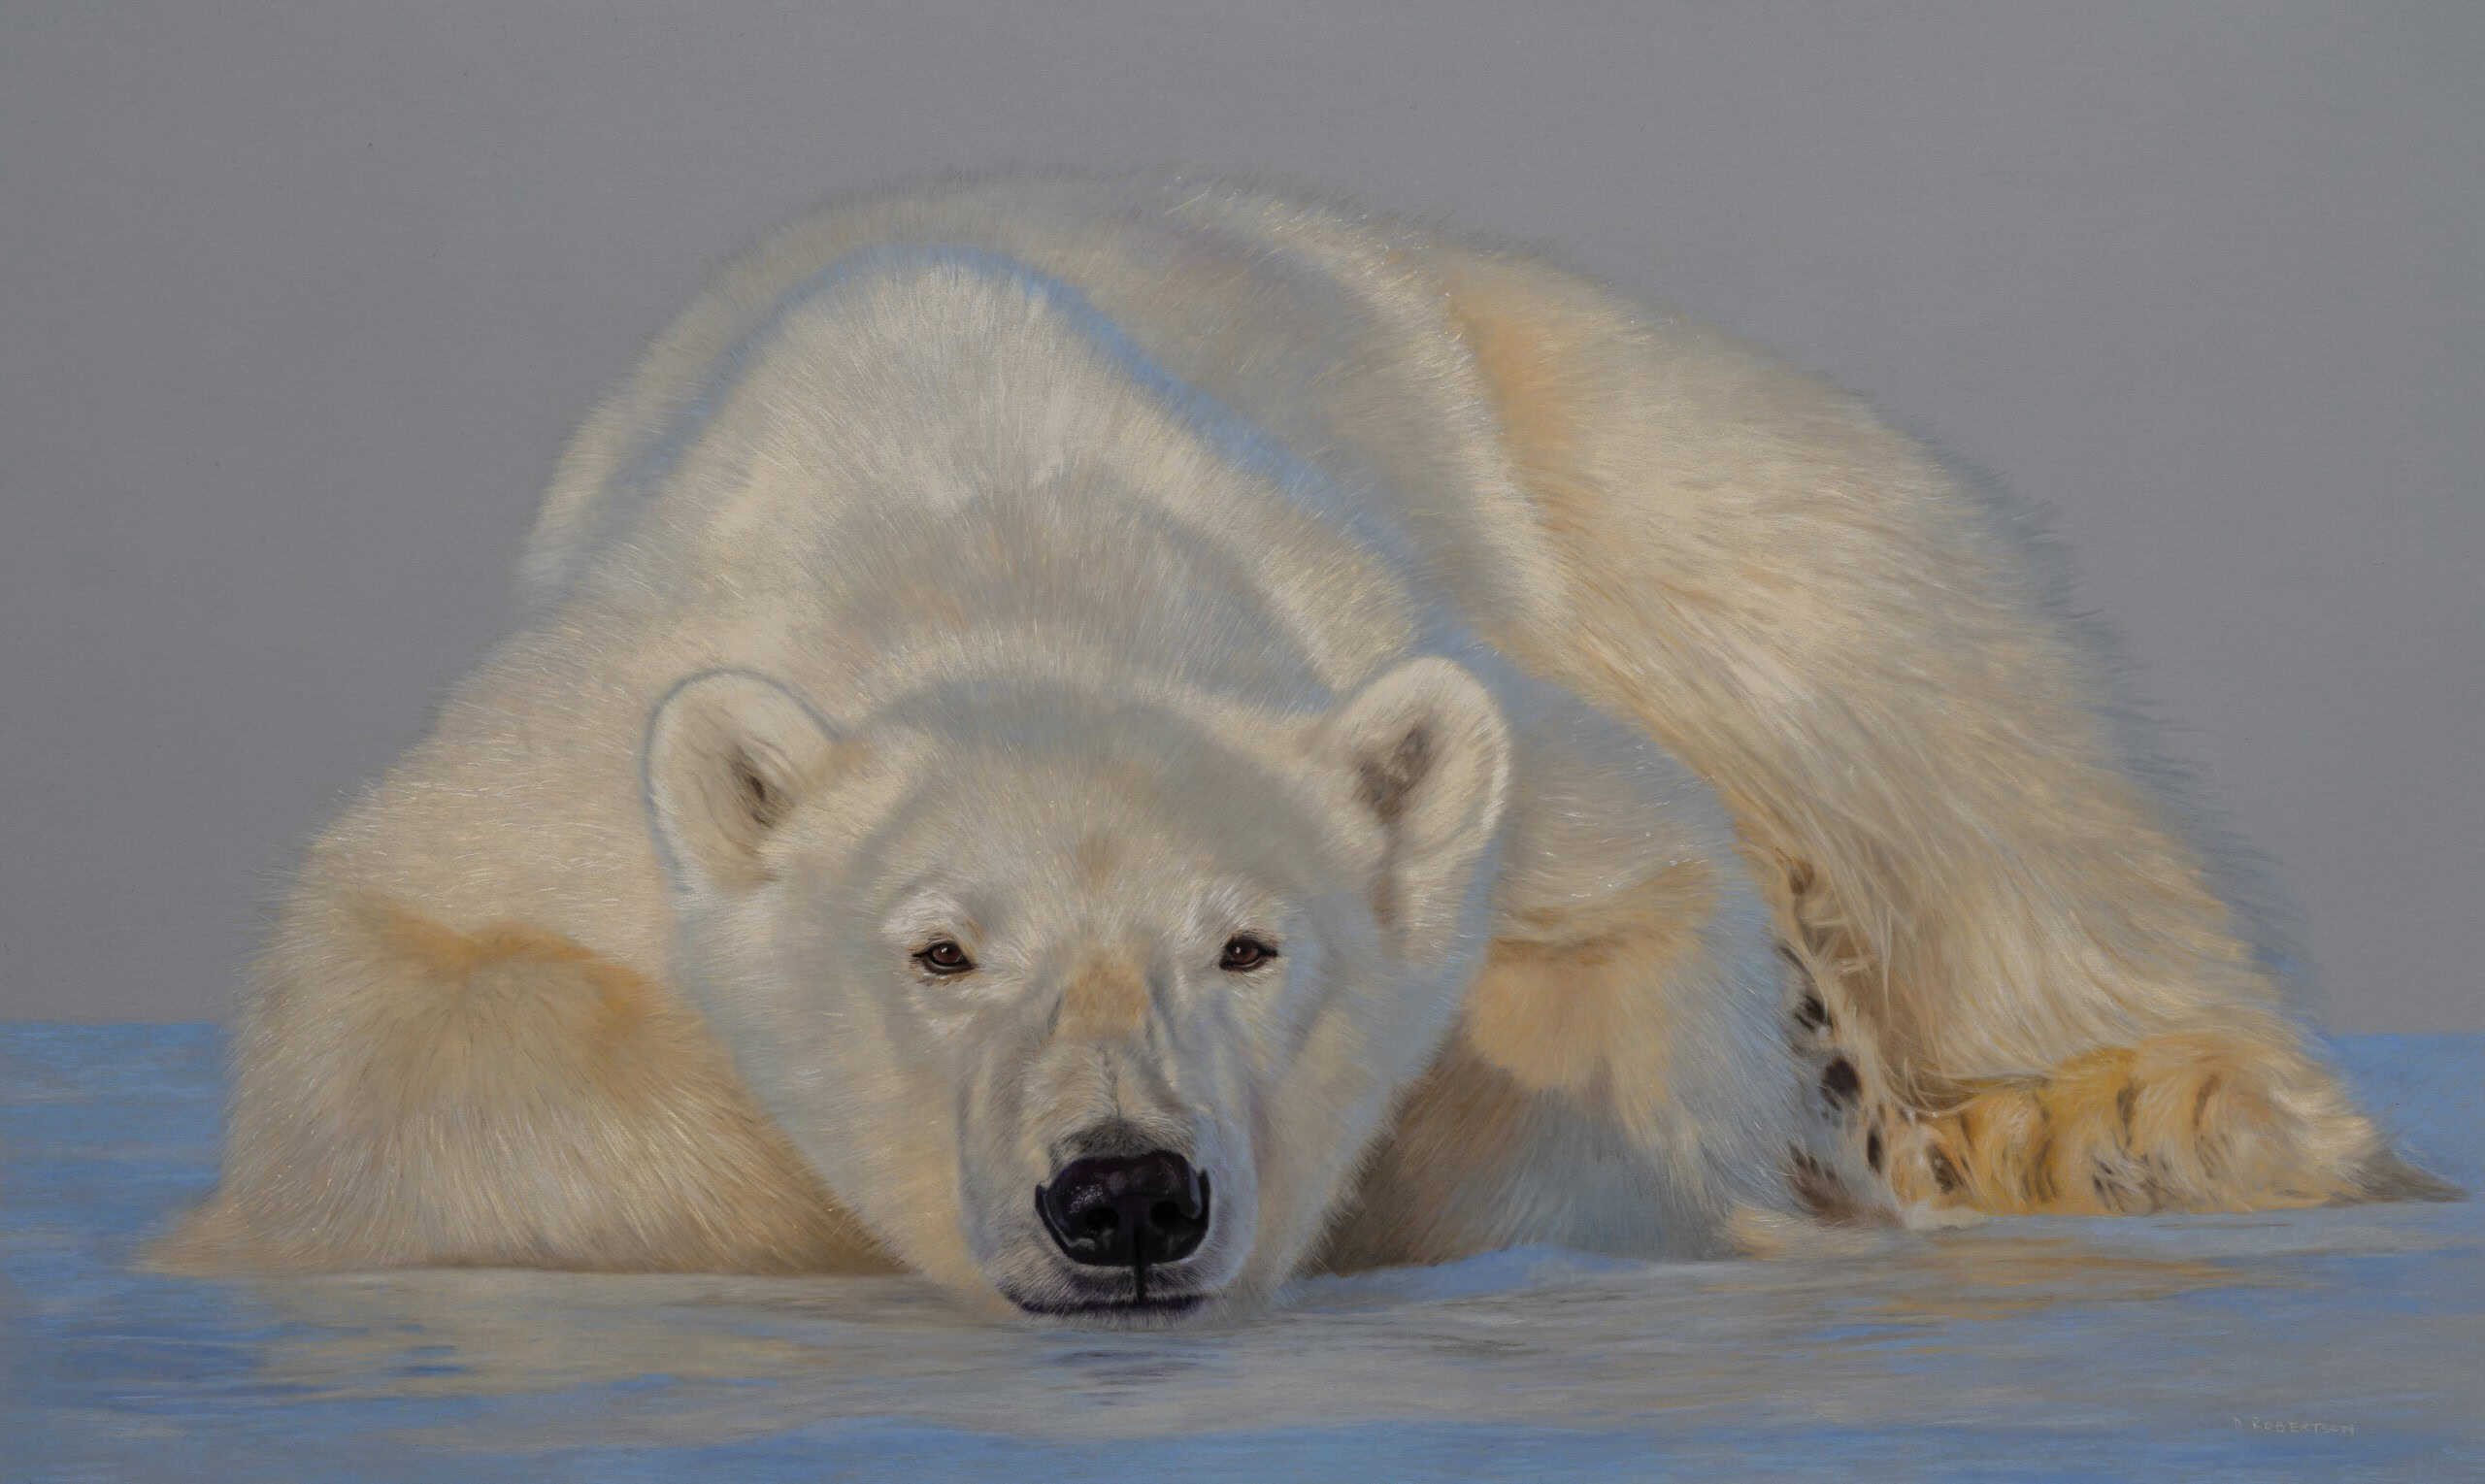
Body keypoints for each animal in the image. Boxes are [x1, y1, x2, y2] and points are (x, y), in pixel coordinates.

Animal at [155, 170, 2445, 1322]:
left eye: (1251, 945)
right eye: (936, 947)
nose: (1124, 1192)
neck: (990, 533)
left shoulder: (1428, 666)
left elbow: (1630, 934)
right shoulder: (572, 746)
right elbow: (380, 1031)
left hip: (1649, 450)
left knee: (1942, 724)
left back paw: (2130, 1106)